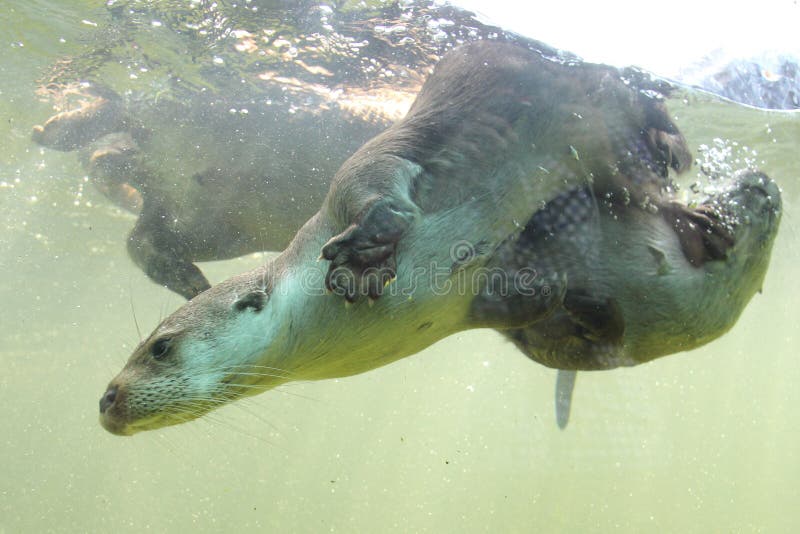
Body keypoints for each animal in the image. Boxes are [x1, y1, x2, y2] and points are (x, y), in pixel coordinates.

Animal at [98, 41, 781, 435]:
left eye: (158, 348)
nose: (105, 398)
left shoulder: (353, 183)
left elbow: (370, 179)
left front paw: (363, 256)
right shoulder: (465, 302)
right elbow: (520, 300)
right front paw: (546, 288)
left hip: (596, 98)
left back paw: (676, 159)